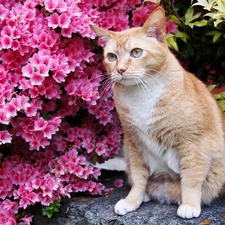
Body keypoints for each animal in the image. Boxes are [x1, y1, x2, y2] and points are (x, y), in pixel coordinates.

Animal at [90, 6, 225, 219]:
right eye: (112, 57)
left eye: (136, 52)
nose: (120, 70)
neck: (141, 94)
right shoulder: (134, 144)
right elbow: (138, 179)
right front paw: (132, 201)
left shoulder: (193, 143)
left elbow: (191, 178)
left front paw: (189, 204)